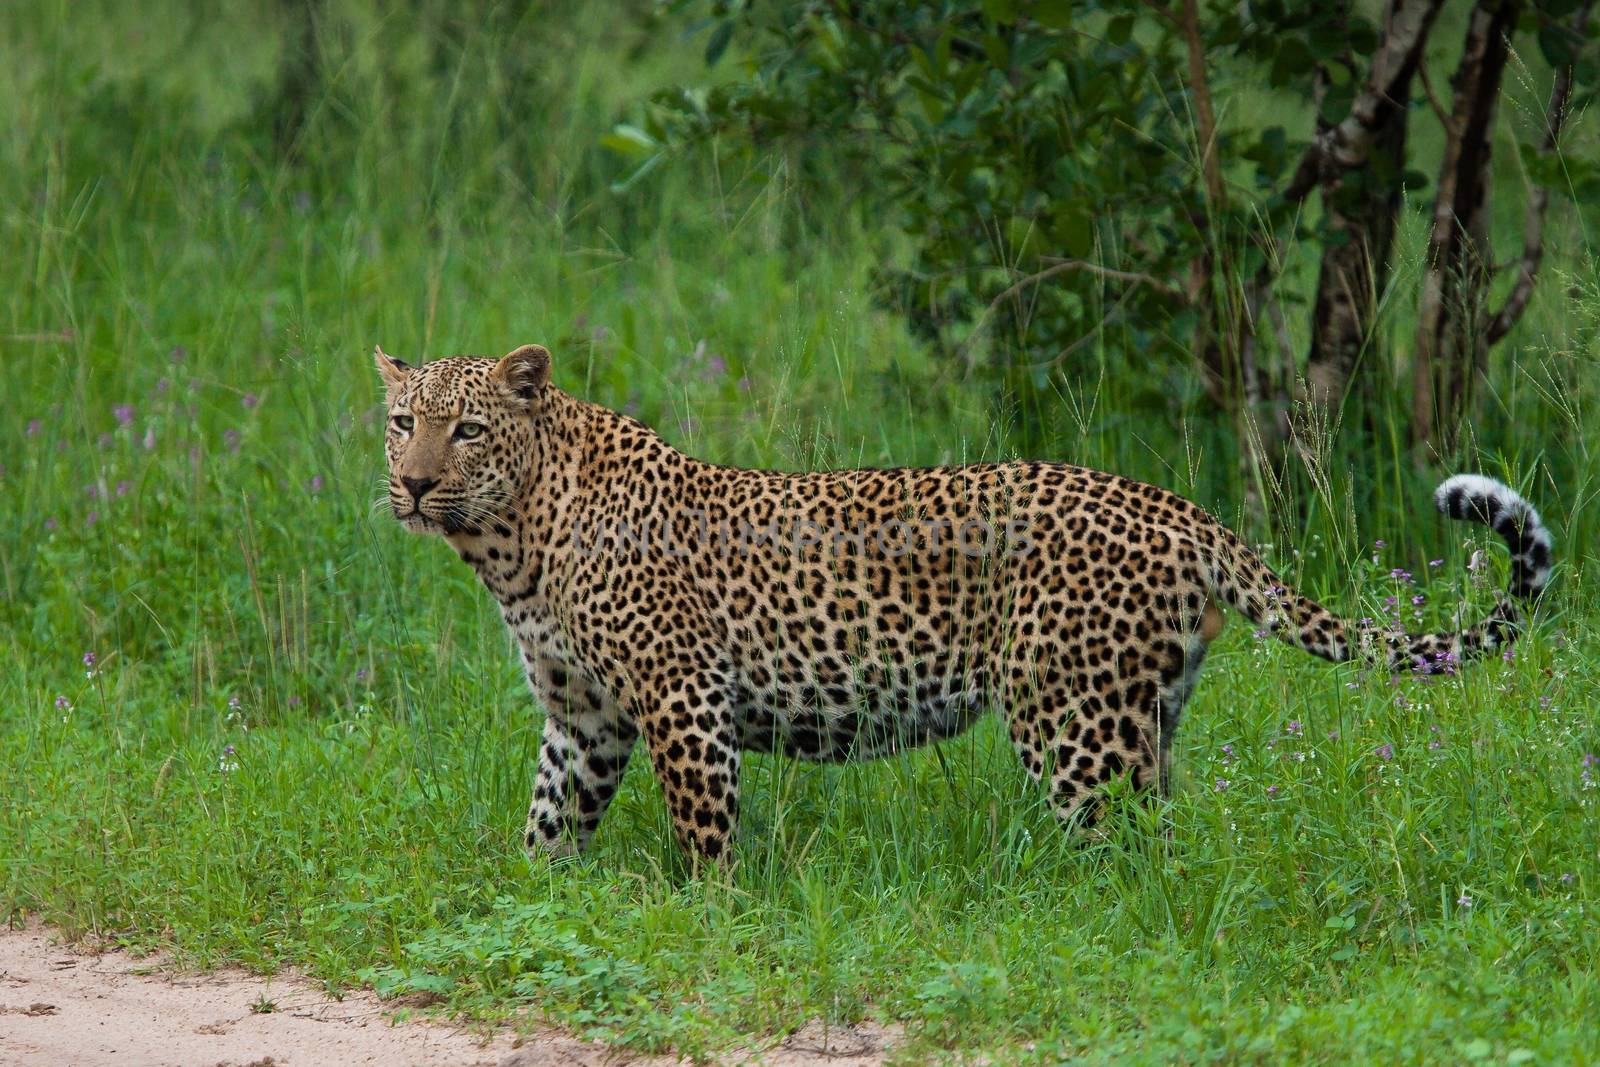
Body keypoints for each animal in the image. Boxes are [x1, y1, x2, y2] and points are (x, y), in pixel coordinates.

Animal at [374, 347, 1548, 863]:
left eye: (465, 428)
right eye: (399, 420)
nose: (416, 485)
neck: (512, 544)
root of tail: (1179, 508)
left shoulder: (680, 701)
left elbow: (704, 835)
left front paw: (705, 918)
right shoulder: (583, 715)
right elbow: (548, 818)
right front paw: (536, 900)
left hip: (1069, 720)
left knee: (1119, 853)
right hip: (1144, 716)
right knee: (1163, 836)